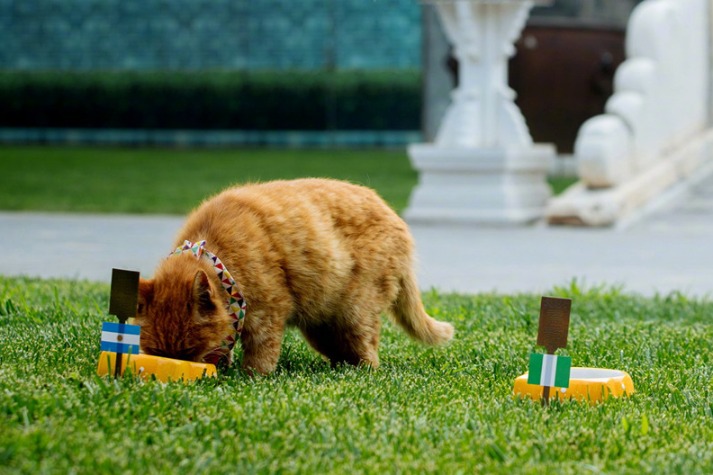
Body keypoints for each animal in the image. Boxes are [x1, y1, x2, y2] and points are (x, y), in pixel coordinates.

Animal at [136, 178, 454, 376]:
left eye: (189, 350)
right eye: (156, 351)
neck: (212, 252)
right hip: (322, 326)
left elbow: (261, 355)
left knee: (368, 353)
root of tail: (398, 220)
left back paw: (362, 373)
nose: (178, 370)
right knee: (342, 353)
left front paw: (250, 377)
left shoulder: (268, 313)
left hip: (355, 313)